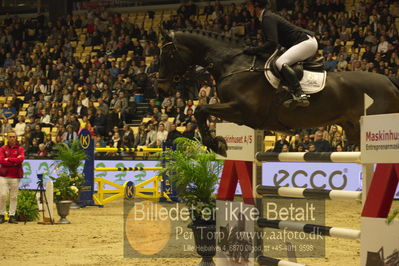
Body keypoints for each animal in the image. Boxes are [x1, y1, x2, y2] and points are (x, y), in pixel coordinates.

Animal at [158, 29, 399, 156]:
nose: (159, 85)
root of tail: (388, 79)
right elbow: (203, 111)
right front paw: (218, 143)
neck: (234, 65)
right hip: (353, 130)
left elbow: (200, 109)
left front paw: (216, 144)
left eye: (168, 54)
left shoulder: (242, 110)